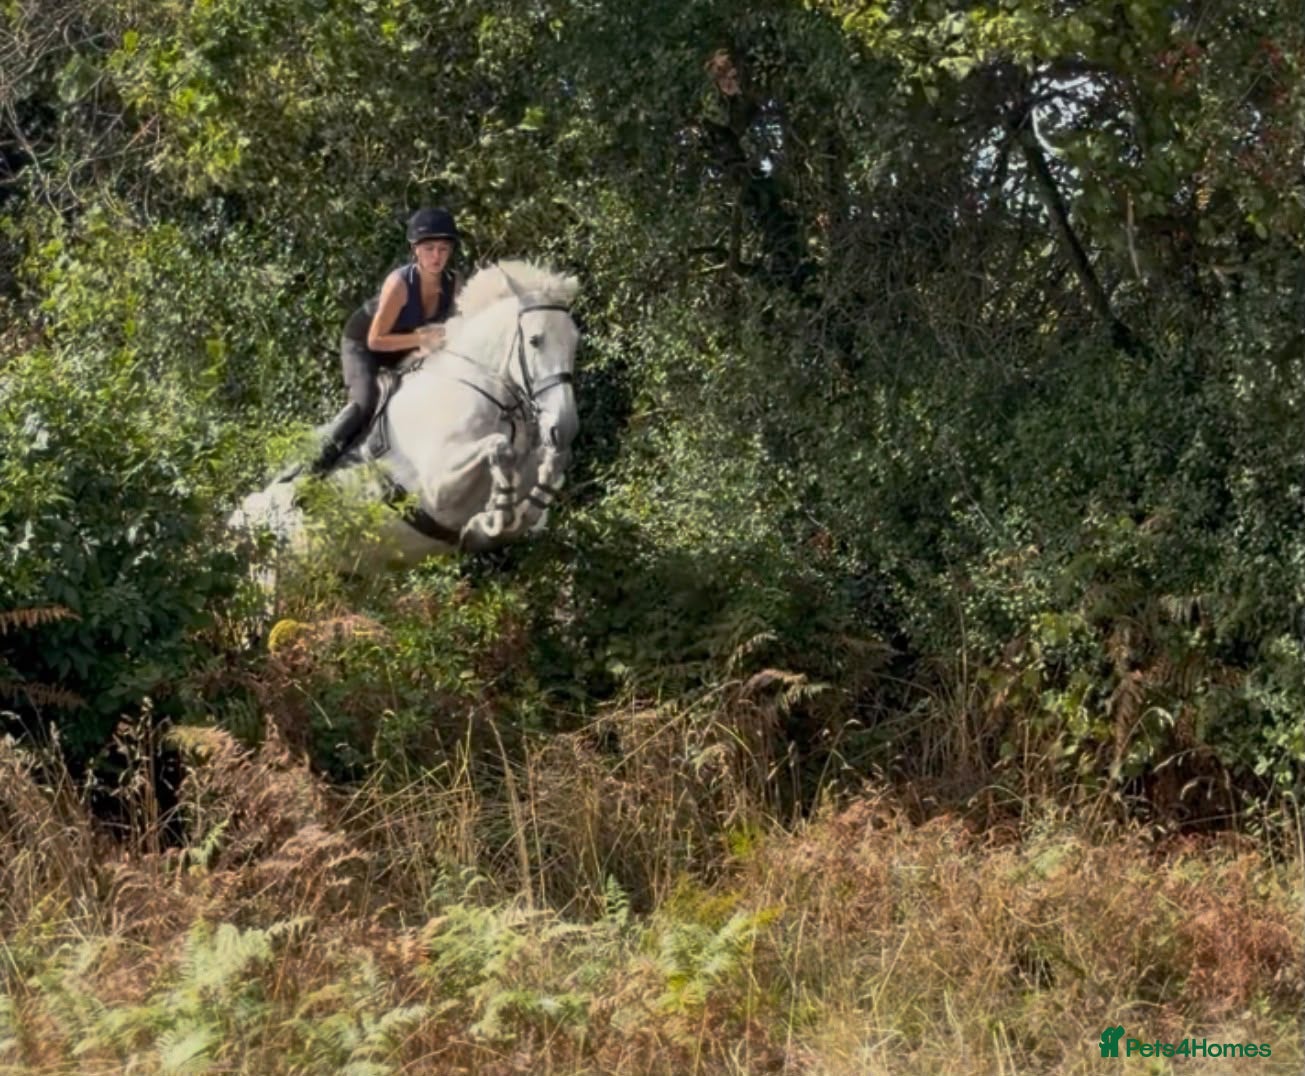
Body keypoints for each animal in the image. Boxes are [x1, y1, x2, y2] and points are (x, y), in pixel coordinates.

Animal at [229, 260, 580, 571]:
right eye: (535, 341)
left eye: (575, 343)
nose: (564, 428)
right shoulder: (437, 488)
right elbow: (498, 448)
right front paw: (492, 519)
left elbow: (547, 482)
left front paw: (493, 521)